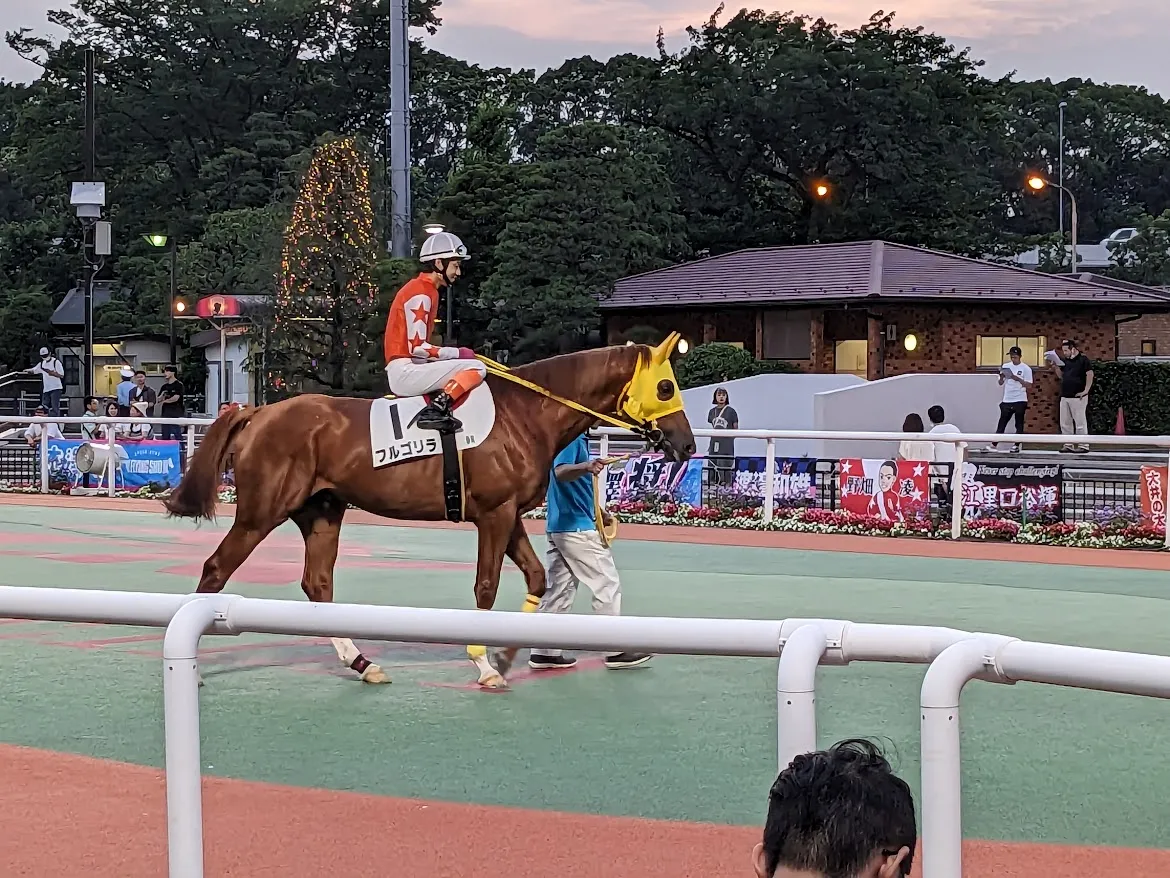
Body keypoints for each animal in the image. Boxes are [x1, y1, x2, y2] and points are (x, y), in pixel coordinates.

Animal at [163, 337, 692, 688]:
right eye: (666, 387)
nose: (686, 445)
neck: (525, 413)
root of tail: (256, 411)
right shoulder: (493, 515)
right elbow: (486, 586)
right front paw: (484, 662)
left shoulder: (509, 515)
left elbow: (538, 578)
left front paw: (507, 655)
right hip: (261, 512)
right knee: (216, 568)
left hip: (322, 512)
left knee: (318, 583)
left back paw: (362, 662)